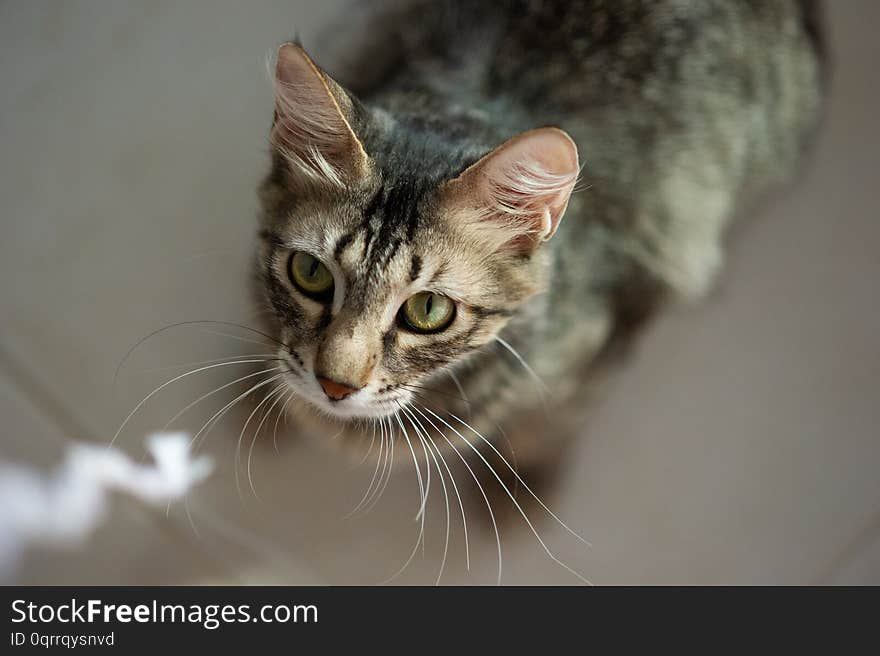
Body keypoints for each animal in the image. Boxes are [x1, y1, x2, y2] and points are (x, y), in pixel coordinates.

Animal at [254, 0, 824, 480]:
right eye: (311, 273)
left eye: (428, 310)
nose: (334, 386)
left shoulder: (615, 314)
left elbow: (553, 417)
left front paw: (522, 484)